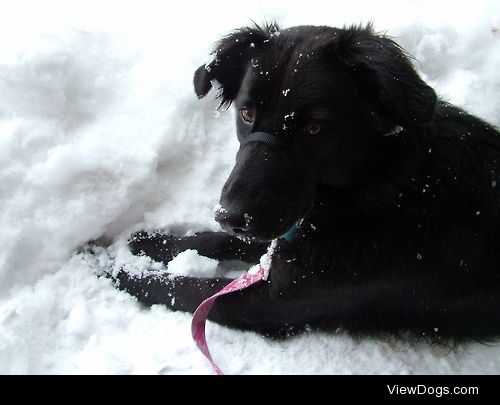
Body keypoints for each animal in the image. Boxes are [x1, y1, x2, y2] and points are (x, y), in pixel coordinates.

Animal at [113, 21, 500, 338]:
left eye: (313, 128)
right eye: (247, 112)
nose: (230, 216)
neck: (382, 187)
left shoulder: (272, 301)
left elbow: (186, 289)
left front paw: (113, 268)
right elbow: (217, 241)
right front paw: (147, 242)